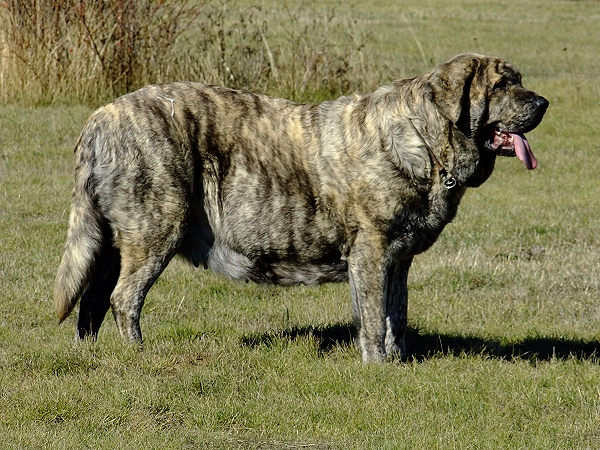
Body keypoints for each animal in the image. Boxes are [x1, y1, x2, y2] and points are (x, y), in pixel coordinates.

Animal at [56, 52, 548, 362]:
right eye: (502, 84)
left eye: (519, 80)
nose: (544, 102)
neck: (424, 141)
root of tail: (97, 119)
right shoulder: (371, 252)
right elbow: (374, 317)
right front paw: (378, 366)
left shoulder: (397, 259)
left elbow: (397, 314)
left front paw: (399, 359)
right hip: (157, 228)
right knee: (123, 298)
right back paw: (137, 355)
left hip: (112, 242)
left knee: (92, 300)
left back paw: (89, 355)